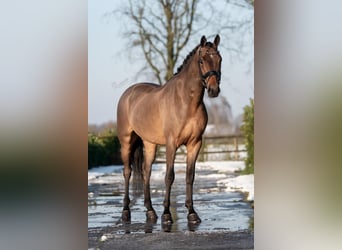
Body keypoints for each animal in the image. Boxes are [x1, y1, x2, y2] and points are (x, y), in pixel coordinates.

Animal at [116, 34, 222, 225]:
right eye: (202, 60)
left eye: (220, 59)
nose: (213, 90)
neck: (187, 102)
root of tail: (128, 93)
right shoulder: (172, 143)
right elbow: (169, 176)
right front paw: (166, 214)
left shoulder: (195, 143)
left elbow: (190, 176)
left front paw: (192, 213)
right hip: (126, 141)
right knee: (127, 172)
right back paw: (126, 211)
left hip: (149, 143)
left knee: (146, 172)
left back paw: (150, 211)